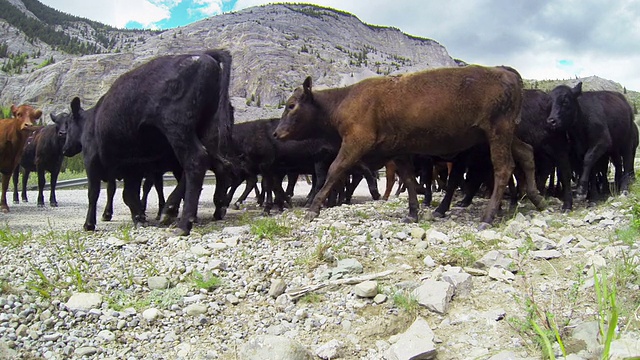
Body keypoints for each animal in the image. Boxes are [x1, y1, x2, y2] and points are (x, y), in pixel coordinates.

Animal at [58, 50, 234, 236]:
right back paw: (176, 210)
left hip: (177, 129)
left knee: (196, 161)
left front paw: (89, 224)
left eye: (67, 125)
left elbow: (94, 193)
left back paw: (183, 223)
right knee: (213, 166)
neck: (91, 121)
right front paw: (139, 217)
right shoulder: (132, 167)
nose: (65, 149)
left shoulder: (92, 162)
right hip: (200, 133)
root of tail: (203, 55)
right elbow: (128, 194)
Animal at [274, 65, 544, 228]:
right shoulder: (399, 151)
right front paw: (413, 213)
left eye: (291, 105)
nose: (276, 133)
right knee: (526, 153)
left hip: (498, 133)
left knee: (503, 168)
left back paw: (488, 217)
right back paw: (537, 200)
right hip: (505, 135)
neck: (342, 100)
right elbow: (408, 179)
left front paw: (313, 209)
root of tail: (504, 71)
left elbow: (335, 170)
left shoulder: (355, 143)